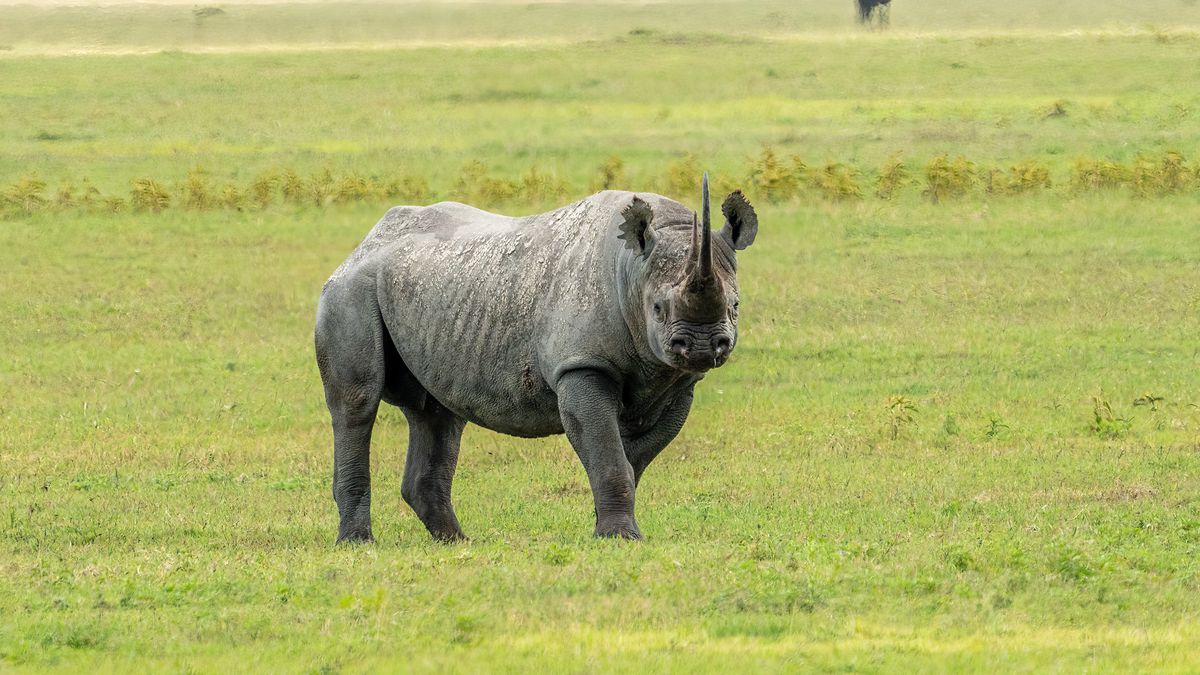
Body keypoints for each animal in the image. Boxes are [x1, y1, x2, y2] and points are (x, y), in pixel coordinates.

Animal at [314, 174, 758, 543]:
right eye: (658, 309)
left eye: (735, 305)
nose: (702, 347)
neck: (632, 268)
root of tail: (366, 241)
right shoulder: (581, 365)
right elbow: (608, 455)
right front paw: (620, 538)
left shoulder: (677, 382)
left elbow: (630, 461)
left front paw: (607, 530)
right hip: (351, 289)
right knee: (357, 404)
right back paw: (358, 544)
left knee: (437, 412)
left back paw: (456, 542)